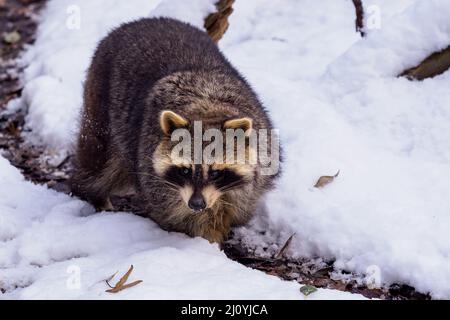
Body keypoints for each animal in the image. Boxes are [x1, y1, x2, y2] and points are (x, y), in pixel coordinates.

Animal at [70, 17, 278, 242]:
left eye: (215, 172)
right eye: (185, 170)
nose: (197, 204)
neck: (206, 108)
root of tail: (142, 22)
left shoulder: (260, 157)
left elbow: (237, 202)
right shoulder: (155, 177)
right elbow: (180, 216)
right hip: (101, 102)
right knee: (98, 162)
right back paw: (92, 193)